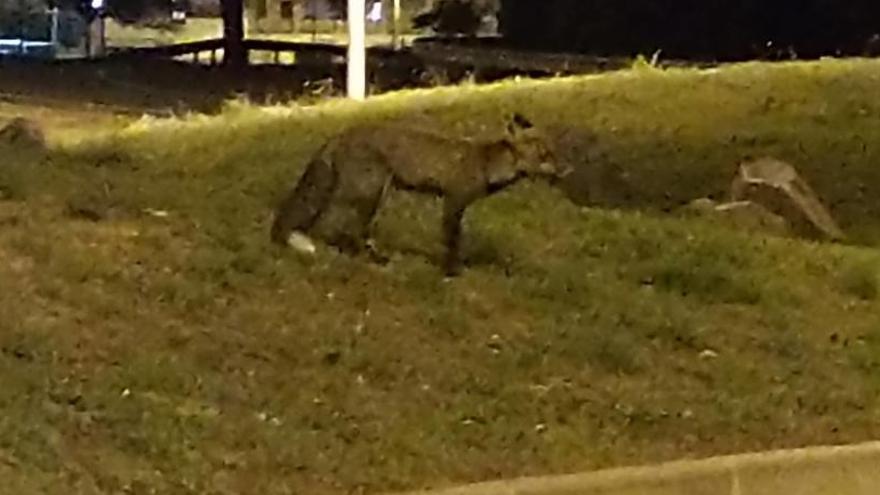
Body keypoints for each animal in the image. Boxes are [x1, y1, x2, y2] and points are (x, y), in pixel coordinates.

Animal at [270, 112, 572, 276]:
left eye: (553, 154)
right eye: (545, 156)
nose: (564, 170)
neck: (486, 165)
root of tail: (339, 135)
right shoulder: (453, 201)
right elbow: (452, 241)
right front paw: (451, 273)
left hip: (372, 194)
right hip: (368, 192)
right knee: (337, 224)